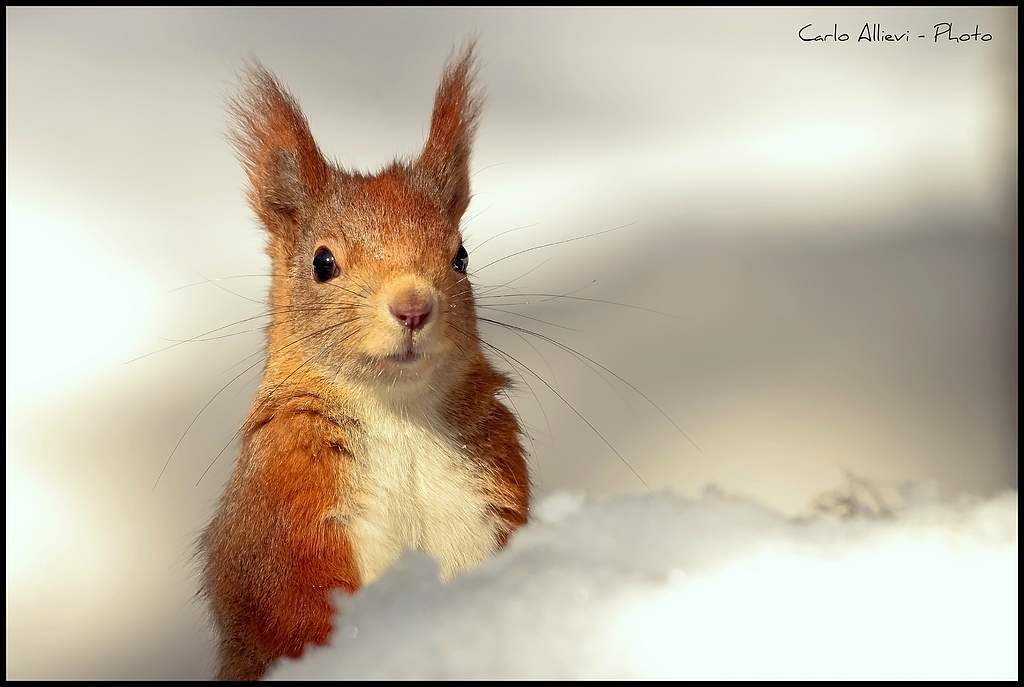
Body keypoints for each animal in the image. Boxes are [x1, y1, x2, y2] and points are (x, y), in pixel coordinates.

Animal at [200, 46, 530, 681]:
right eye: (322, 262)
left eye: (461, 256)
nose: (413, 307)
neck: (400, 417)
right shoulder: (285, 499)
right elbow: (294, 607)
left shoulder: (497, 483)